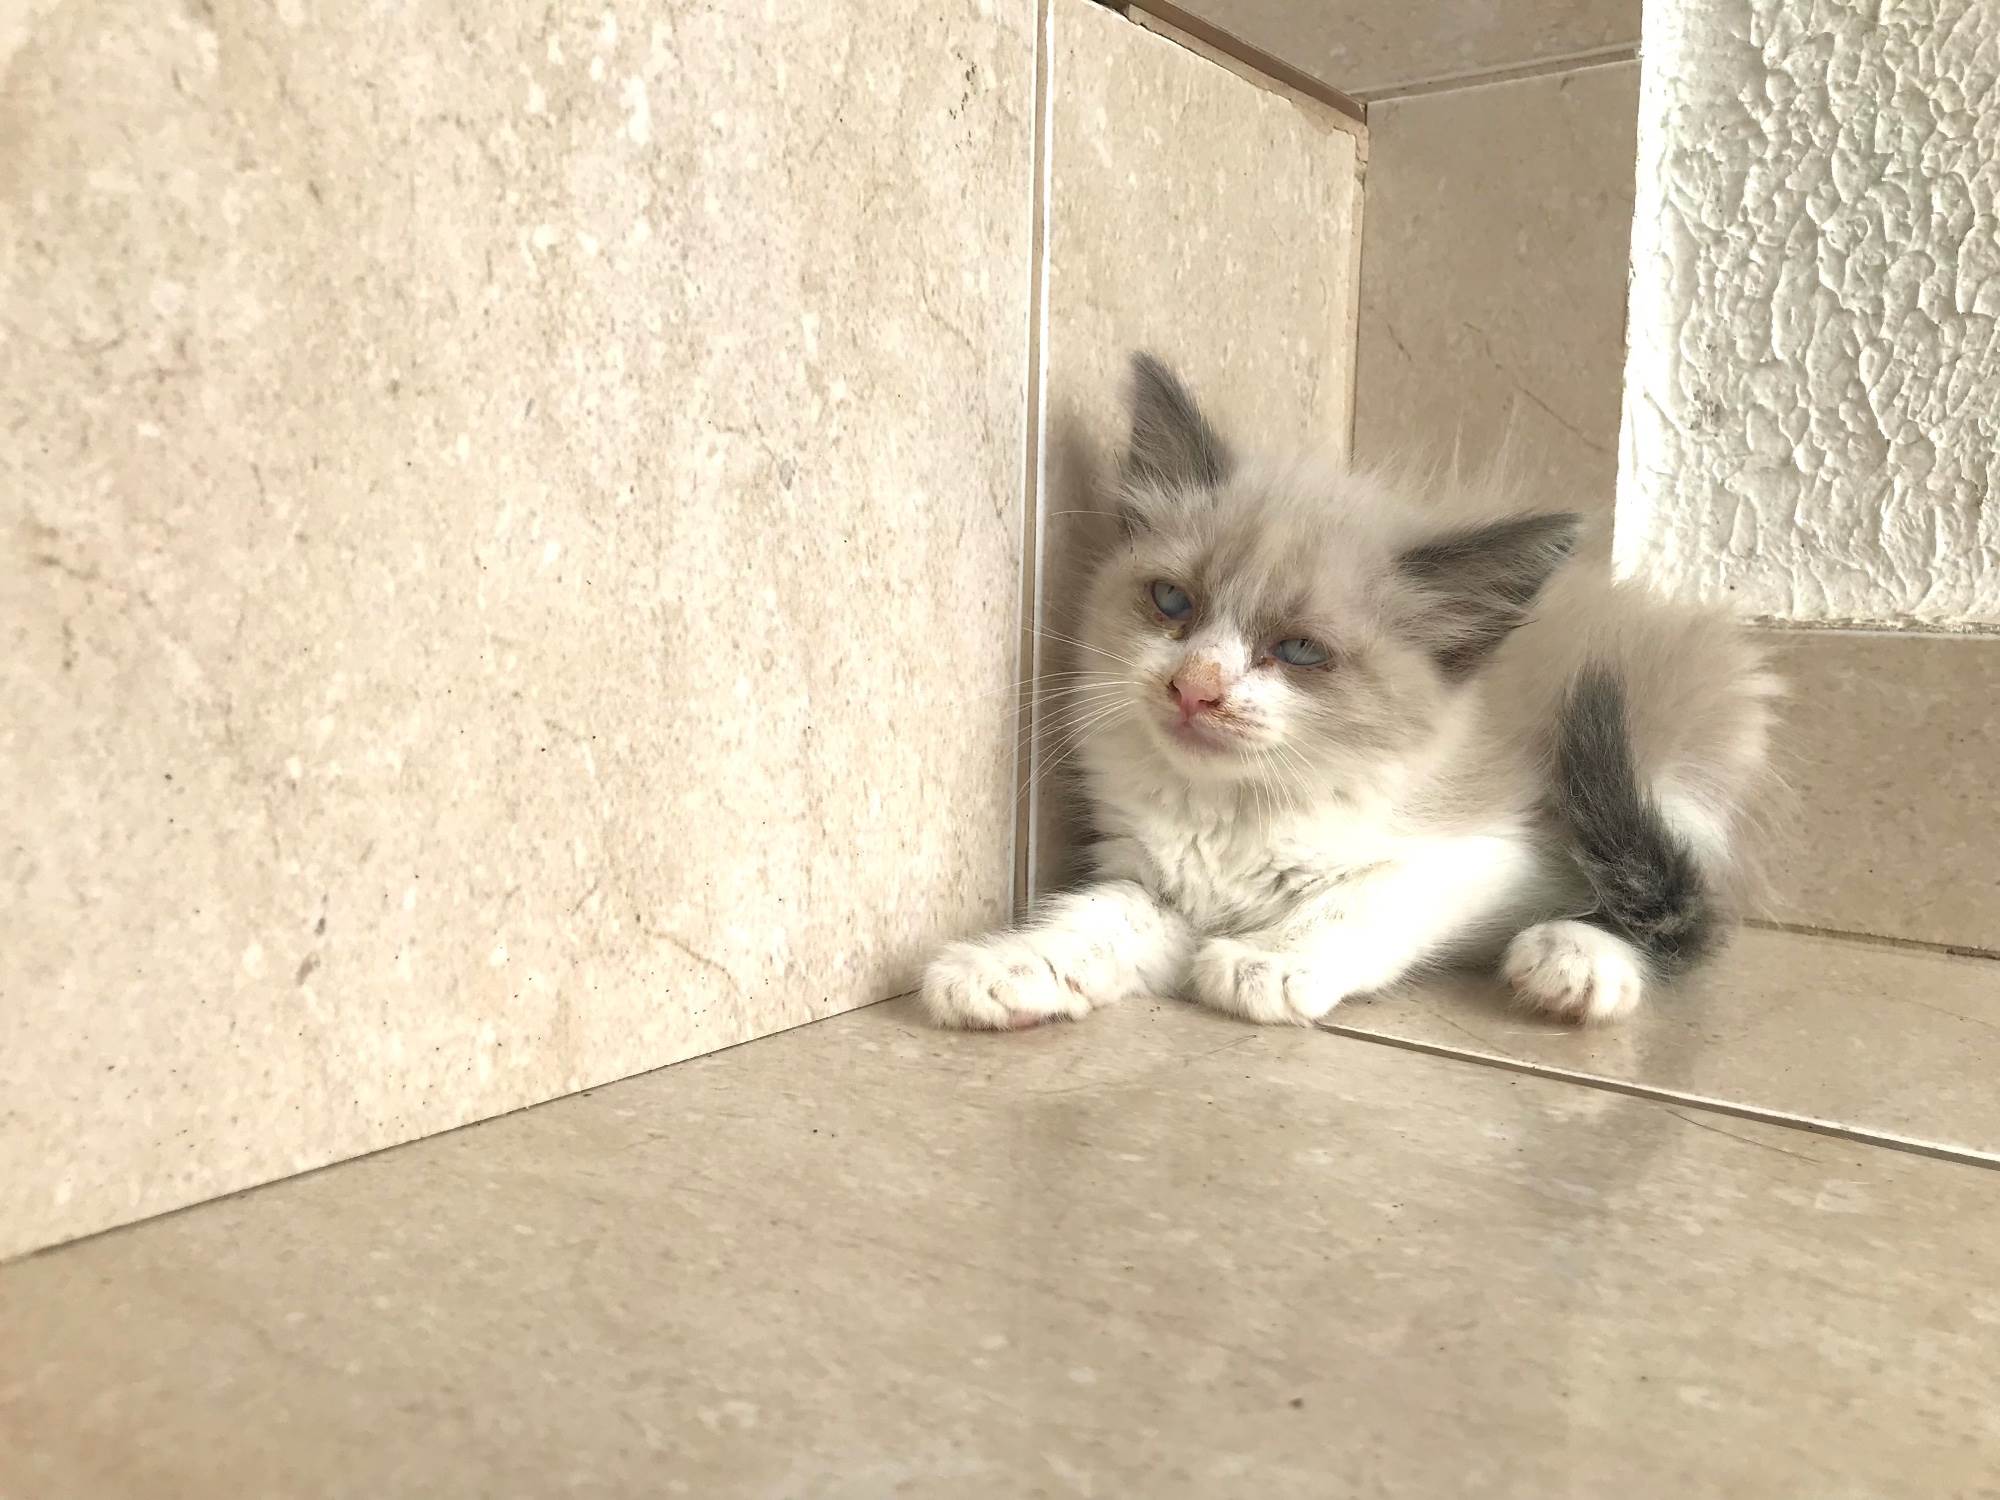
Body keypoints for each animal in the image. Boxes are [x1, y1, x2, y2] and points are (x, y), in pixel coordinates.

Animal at [922, 354, 1779, 1031]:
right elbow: (1096, 920)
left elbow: (1363, 897)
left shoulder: (1494, 852)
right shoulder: (1156, 883)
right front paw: (1006, 968)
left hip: (1666, 764)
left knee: (1676, 909)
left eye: (1299, 650)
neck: (1237, 810)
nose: (1195, 688)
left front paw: (1267, 963)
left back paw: (1575, 960)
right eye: (1171, 602)